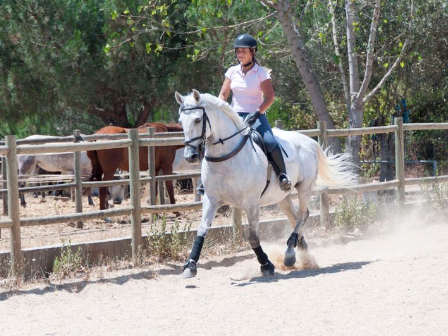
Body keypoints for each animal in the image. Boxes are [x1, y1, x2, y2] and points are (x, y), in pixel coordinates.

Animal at [175, 89, 356, 278]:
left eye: (197, 120)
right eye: (180, 122)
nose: (190, 156)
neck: (226, 156)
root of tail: (310, 141)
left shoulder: (252, 204)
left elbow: (253, 237)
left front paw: (266, 265)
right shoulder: (211, 200)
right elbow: (201, 230)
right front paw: (190, 266)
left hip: (305, 188)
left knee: (301, 215)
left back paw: (290, 254)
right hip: (282, 197)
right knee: (294, 216)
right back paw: (299, 250)